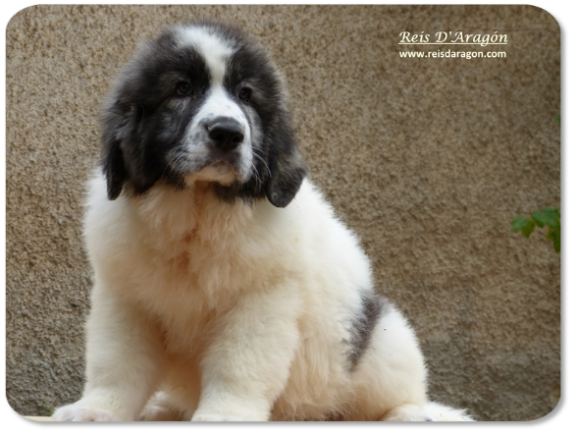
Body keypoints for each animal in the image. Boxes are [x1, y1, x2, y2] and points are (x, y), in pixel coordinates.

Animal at [51, 21, 470, 422]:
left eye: (246, 94)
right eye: (182, 88)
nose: (227, 132)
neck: (198, 212)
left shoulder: (260, 302)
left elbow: (238, 364)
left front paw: (224, 416)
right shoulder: (124, 298)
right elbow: (116, 364)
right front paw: (96, 409)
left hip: (382, 339)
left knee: (397, 394)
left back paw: (411, 415)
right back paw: (163, 407)